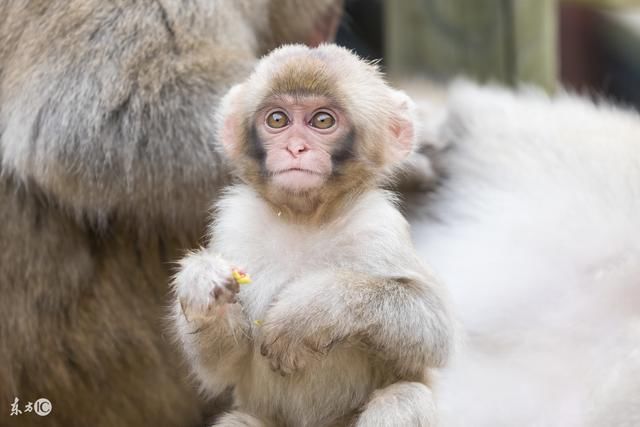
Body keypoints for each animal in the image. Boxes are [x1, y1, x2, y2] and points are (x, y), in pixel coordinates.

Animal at [172, 44, 452, 427]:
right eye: (277, 120)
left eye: (322, 121)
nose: (295, 148)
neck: (305, 219)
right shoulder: (235, 226)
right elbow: (221, 366)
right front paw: (202, 283)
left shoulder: (379, 227)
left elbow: (434, 330)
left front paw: (310, 310)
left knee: (405, 397)